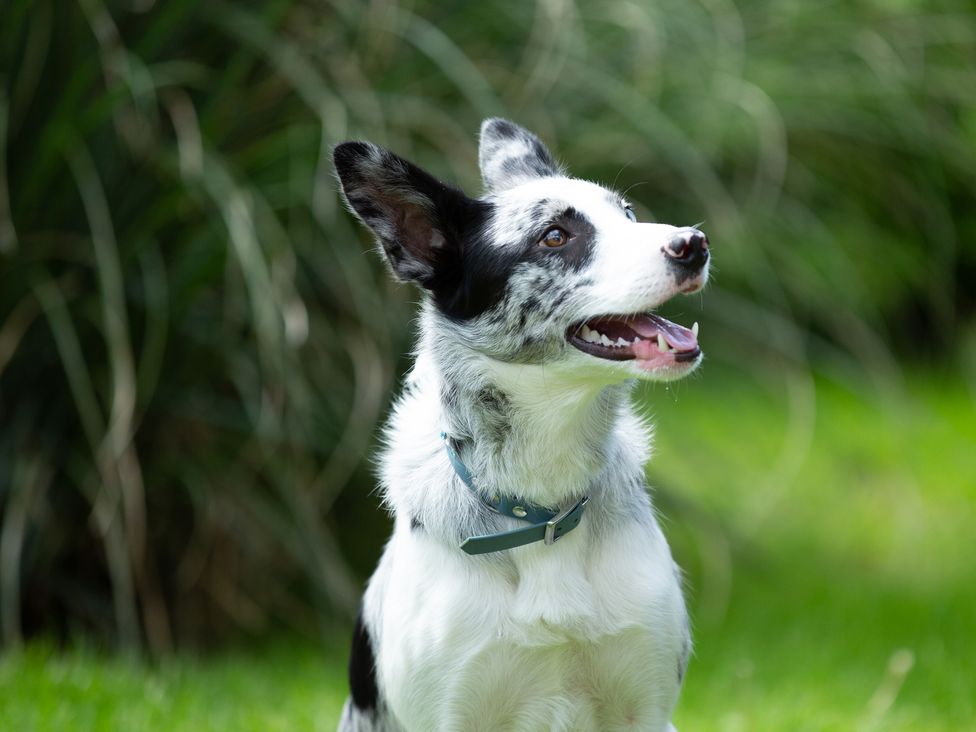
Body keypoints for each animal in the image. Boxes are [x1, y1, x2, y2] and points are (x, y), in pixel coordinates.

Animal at [334, 120, 708, 732]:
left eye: (628, 213)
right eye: (554, 237)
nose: (694, 244)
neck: (543, 512)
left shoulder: (647, 705)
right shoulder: (453, 709)